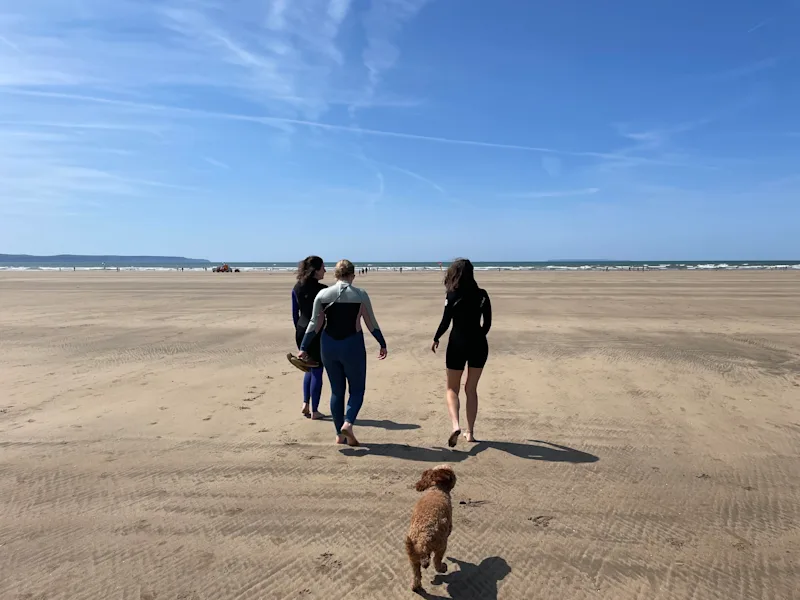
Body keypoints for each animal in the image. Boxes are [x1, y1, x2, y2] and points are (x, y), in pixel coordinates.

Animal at [406, 464, 456, 592]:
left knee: (416, 574)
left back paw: (415, 586)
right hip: (441, 546)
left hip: (413, 558)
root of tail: (422, 540)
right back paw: (442, 567)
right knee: (436, 562)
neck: (437, 489)